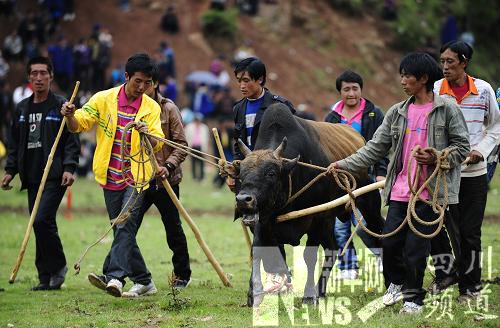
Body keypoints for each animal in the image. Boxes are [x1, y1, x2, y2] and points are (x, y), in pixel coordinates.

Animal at [234, 102, 382, 304]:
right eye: (241, 174)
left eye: (271, 173)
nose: (243, 200)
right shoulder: (263, 223)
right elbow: (258, 252)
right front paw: (253, 293)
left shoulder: (317, 219)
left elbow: (309, 256)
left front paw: (309, 294)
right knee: (332, 249)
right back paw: (322, 289)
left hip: (368, 206)